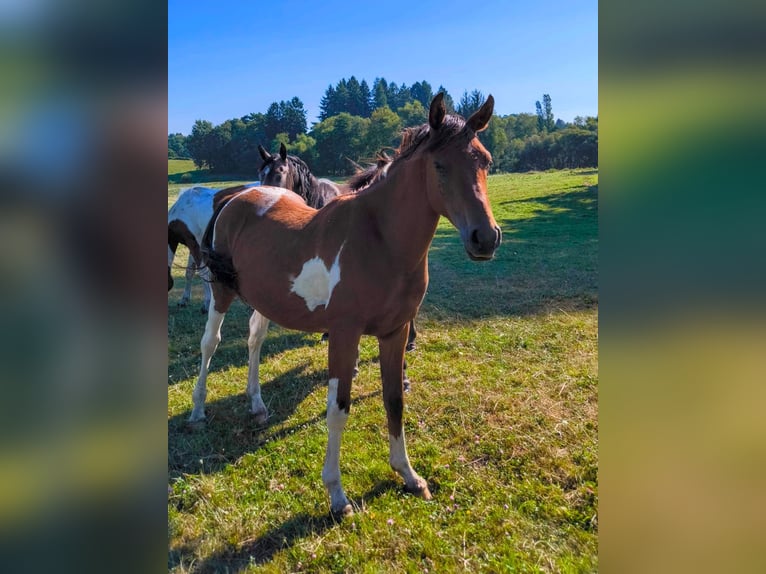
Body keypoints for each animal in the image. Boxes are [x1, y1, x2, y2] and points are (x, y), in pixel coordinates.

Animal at [195, 94, 500, 516]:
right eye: (439, 165)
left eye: (485, 161)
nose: (485, 238)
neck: (380, 239)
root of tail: (235, 197)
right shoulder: (343, 335)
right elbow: (338, 409)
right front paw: (337, 496)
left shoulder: (395, 333)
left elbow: (394, 401)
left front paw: (409, 476)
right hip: (223, 292)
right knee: (210, 344)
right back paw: (197, 411)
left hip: (264, 299)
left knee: (254, 341)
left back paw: (256, 404)